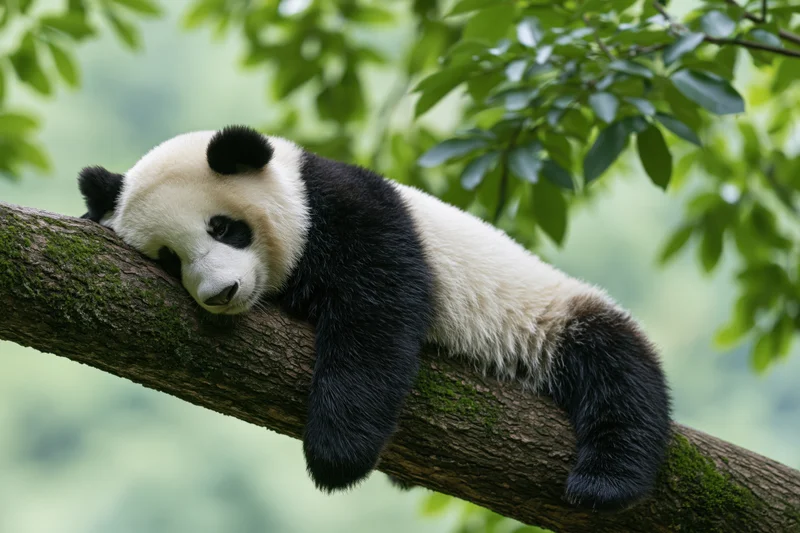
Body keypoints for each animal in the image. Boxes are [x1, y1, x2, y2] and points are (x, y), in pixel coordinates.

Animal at [78, 125, 671, 511]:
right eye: (167, 258)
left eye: (223, 227)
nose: (221, 293)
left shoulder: (356, 216)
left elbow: (376, 316)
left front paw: (336, 456)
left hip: (545, 315)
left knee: (615, 369)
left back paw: (604, 481)